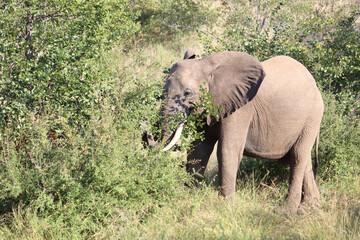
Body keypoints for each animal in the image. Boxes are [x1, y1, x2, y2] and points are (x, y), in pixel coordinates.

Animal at [159, 49, 322, 213]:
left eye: (188, 93)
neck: (207, 66)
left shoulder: (240, 108)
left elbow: (227, 150)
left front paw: (225, 207)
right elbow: (199, 150)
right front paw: (189, 198)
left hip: (312, 116)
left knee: (297, 156)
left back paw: (286, 211)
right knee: (304, 158)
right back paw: (310, 208)